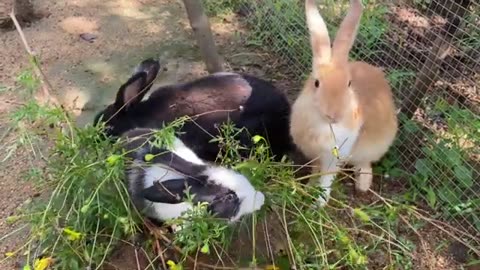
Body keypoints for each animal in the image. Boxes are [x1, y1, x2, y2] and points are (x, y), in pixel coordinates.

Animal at [288, 0, 398, 206]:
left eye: (349, 83)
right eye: (316, 83)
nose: (334, 114)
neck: (323, 125)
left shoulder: (334, 158)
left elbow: (326, 180)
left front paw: (318, 204)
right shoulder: (315, 156)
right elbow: (315, 173)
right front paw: (307, 188)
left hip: (371, 147)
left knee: (364, 164)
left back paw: (362, 185)